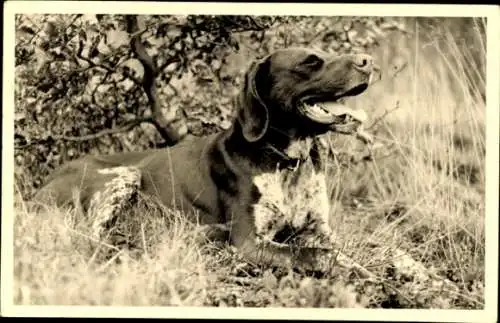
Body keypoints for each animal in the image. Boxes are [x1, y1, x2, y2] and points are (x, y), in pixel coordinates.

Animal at [35, 46, 376, 274]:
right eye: (311, 62)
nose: (368, 61)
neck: (286, 161)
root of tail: (40, 187)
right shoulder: (250, 242)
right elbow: (315, 254)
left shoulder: (320, 228)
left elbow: (350, 250)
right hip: (125, 173)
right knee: (90, 240)